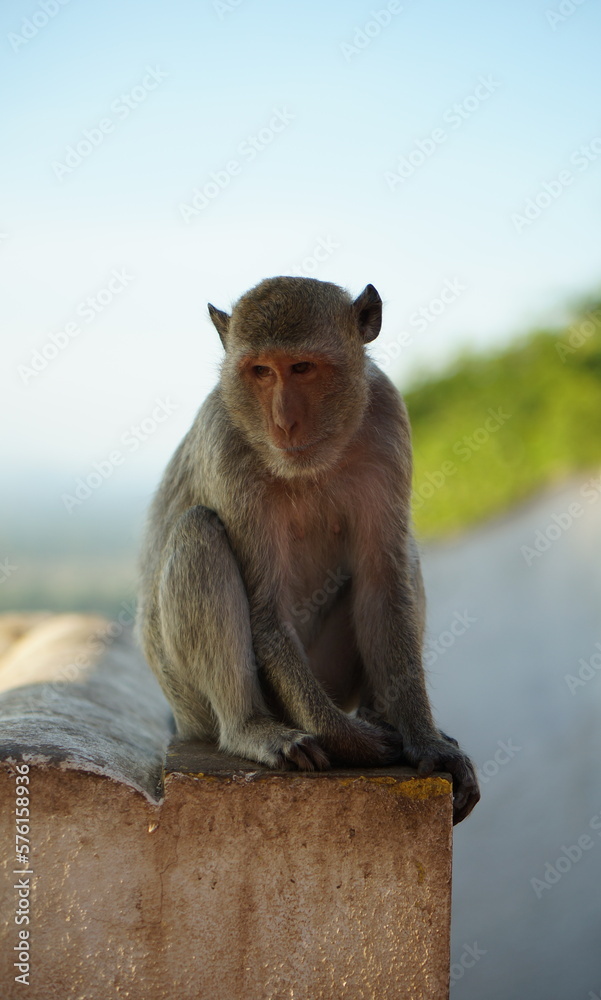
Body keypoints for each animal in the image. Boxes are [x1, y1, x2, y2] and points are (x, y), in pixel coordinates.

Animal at [136, 278, 478, 824]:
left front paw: (426, 741)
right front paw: (353, 742)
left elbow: (384, 585)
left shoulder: (388, 416)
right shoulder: (225, 444)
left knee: (399, 557)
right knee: (198, 533)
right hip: (192, 699)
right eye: (260, 371)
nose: (283, 423)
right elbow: (265, 610)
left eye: (301, 367)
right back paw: (253, 728)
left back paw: (381, 713)